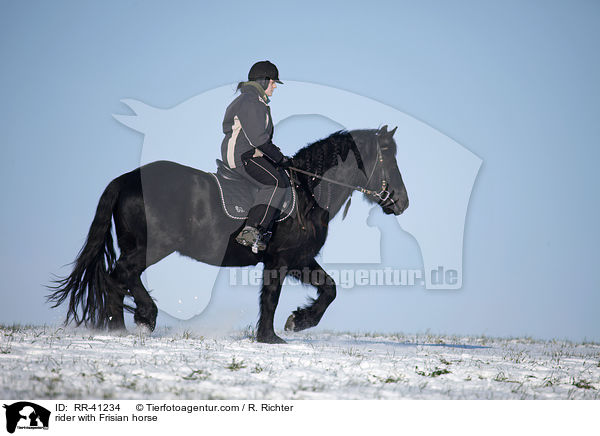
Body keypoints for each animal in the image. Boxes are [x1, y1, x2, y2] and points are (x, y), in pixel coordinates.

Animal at [49, 124, 410, 342]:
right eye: (388, 159)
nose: (403, 202)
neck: (308, 190)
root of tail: (125, 179)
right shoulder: (280, 259)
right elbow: (271, 298)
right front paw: (270, 337)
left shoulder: (298, 259)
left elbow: (329, 289)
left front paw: (298, 321)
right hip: (154, 246)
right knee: (120, 274)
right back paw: (145, 317)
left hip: (133, 243)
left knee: (116, 281)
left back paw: (117, 330)